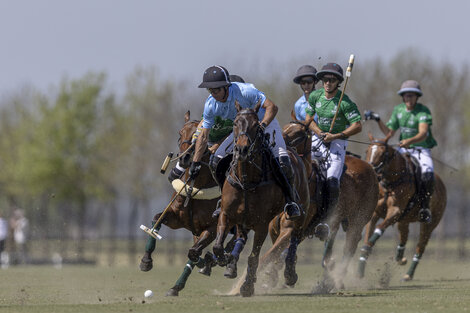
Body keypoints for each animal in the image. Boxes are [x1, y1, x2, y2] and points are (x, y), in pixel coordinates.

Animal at [139, 111, 229, 294]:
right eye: (180, 133)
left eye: (200, 134)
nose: (186, 158)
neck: (195, 187)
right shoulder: (178, 219)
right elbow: (156, 219)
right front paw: (146, 261)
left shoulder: (212, 227)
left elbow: (193, 253)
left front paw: (210, 261)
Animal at [212, 104, 308, 294]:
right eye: (235, 123)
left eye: (256, 125)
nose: (242, 149)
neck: (246, 180)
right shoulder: (227, 214)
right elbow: (218, 245)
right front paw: (224, 259)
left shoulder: (262, 224)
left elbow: (254, 256)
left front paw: (247, 286)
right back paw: (231, 266)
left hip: (300, 212)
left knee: (294, 237)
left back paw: (289, 273)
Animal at [358, 134, 446, 280]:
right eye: (367, 151)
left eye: (383, 153)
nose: (373, 172)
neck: (390, 183)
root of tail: (442, 184)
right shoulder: (375, 213)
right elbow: (367, 235)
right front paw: (360, 268)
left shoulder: (395, 211)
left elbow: (379, 228)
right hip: (404, 220)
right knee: (404, 237)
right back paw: (400, 258)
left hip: (429, 224)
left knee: (420, 246)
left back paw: (408, 275)